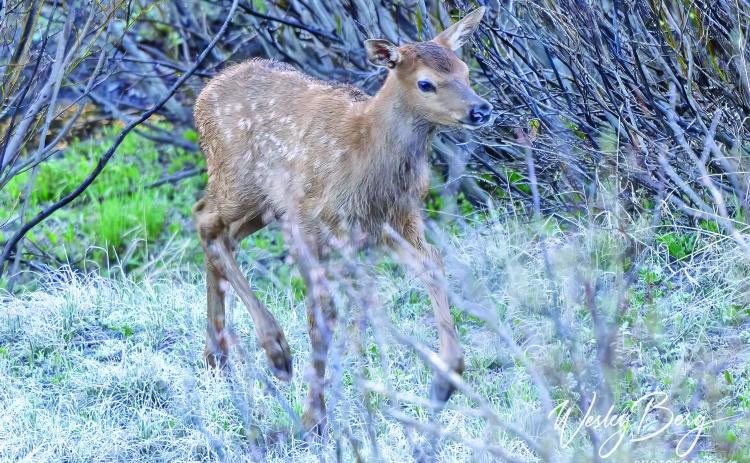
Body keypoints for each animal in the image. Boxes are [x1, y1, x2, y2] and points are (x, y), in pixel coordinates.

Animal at [192, 7, 492, 432]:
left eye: (465, 70)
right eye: (426, 83)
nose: (481, 109)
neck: (366, 157)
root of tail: (203, 95)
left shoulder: (396, 220)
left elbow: (432, 263)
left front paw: (446, 376)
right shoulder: (307, 221)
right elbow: (322, 314)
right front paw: (312, 418)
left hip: (262, 205)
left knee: (218, 232)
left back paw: (217, 357)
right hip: (239, 182)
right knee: (206, 222)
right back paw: (275, 352)